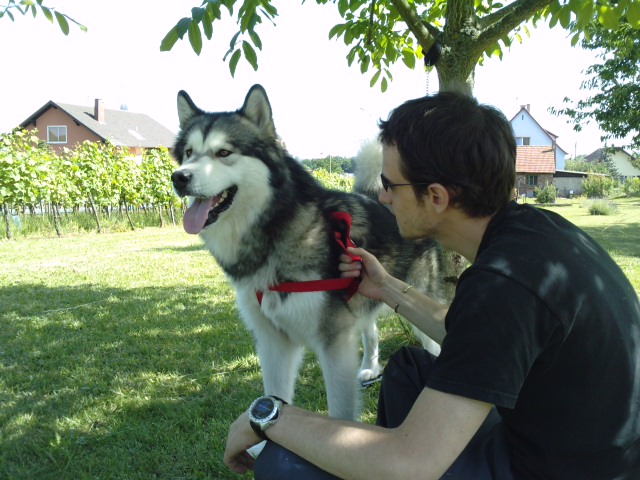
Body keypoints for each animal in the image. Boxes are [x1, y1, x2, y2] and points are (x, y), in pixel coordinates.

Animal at [172, 85, 448, 420]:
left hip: (422, 297)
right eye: (188, 153)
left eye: (223, 153)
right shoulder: (273, 342)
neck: (275, 229)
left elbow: (339, 413)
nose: (179, 177)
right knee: (369, 329)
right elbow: (275, 395)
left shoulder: (334, 344)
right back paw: (370, 367)